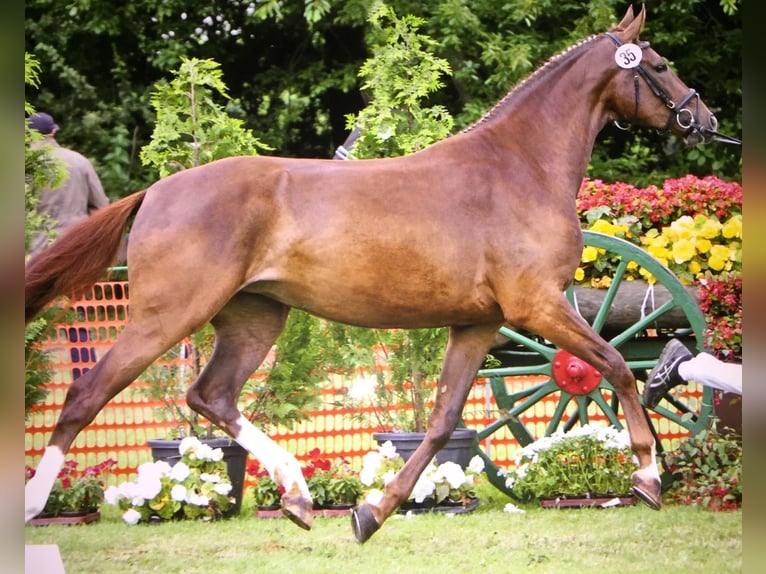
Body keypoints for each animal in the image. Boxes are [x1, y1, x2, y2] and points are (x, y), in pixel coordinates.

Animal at [27, 5, 728, 544]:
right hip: (167, 314)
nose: (707, 119)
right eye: (658, 65)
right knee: (88, 393)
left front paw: (370, 513)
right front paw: (647, 477)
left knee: (212, 396)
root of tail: (155, 192)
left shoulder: (479, 323)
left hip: (253, 317)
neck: (518, 166)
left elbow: (444, 420)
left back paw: (298, 495)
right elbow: (612, 366)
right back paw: (35, 504)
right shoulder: (537, 307)